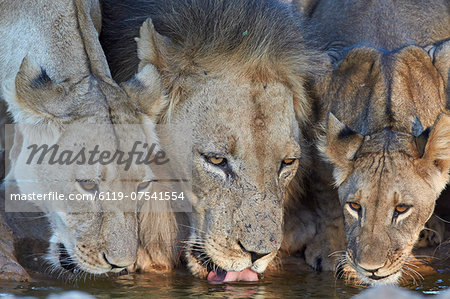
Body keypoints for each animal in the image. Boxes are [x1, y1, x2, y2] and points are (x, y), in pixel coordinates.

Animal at [296, 0, 450, 286]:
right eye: (355, 206)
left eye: (402, 209)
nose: (371, 269)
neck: (388, 125)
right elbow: (325, 192)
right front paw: (327, 250)